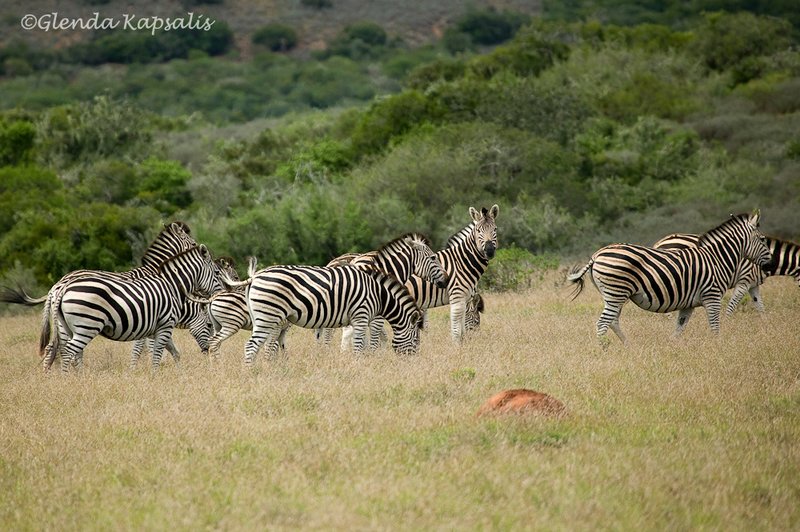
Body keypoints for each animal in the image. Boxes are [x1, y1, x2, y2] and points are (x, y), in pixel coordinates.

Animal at [48, 243, 224, 371]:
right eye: (209, 325)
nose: (208, 350)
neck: (172, 286)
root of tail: (63, 286)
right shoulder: (164, 325)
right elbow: (155, 354)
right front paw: (152, 376)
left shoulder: (158, 328)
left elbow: (175, 353)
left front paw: (180, 374)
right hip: (87, 325)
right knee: (68, 351)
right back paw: (67, 379)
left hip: (70, 327)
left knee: (68, 351)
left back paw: (80, 377)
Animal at [223, 261, 424, 365]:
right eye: (415, 339)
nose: (412, 363)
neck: (379, 294)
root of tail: (256, 276)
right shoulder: (361, 315)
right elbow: (358, 345)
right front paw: (358, 365)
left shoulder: (357, 319)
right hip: (268, 316)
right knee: (251, 346)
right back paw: (251, 373)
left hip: (264, 317)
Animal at [567, 211, 771, 345]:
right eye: (762, 239)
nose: (770, 261)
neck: (716, 258)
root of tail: (596, 255)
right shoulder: (712, 295)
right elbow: (715, 325)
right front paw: (718, 346)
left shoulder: (688, 304)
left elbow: (679, 328)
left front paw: (672, 346)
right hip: (616, 292)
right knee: (603, 322)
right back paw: (603, 349)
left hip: (614, 295)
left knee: (613, 321)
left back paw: (628, 346)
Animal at [653, 233, 800, 315]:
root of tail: (660, 242)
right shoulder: (744, 280)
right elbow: (731, 306)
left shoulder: (753, 284)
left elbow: (760, 306)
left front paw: (765, 326)